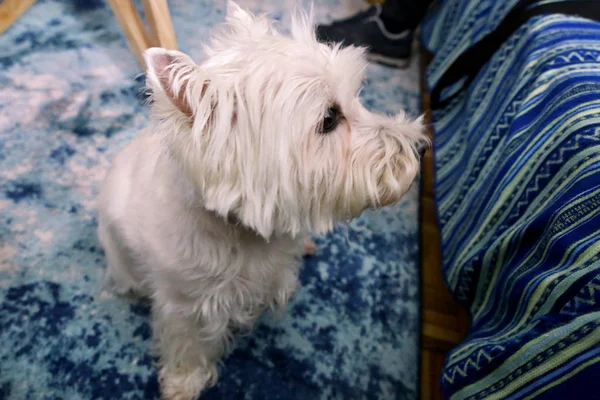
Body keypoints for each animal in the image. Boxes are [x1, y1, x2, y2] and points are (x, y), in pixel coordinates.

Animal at [98, 2, 426, 396]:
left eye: (356, 98)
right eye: (329, 118)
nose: (420, 148)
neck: (244, 233)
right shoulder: (184, 304)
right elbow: (187, 343)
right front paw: (183, 383)